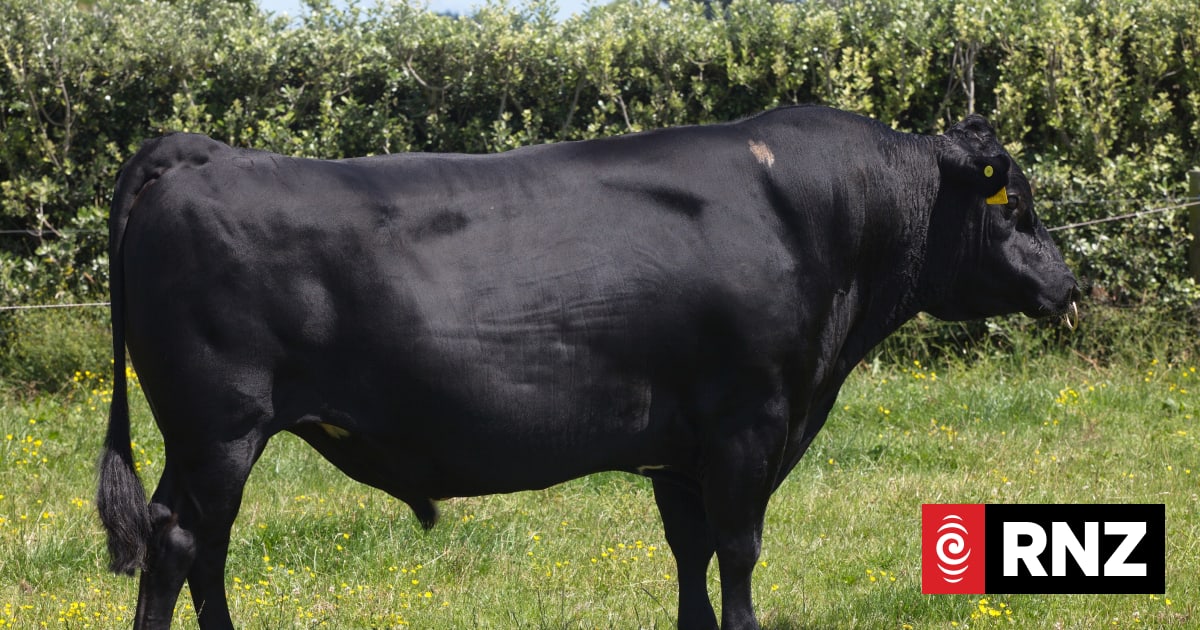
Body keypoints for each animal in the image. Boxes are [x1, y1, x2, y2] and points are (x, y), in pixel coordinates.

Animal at [97, 105, 1078, 630]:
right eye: (1017, 206)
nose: (1071, 282)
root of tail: (199, 151)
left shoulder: (680, 447)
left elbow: (690, 553)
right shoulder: (749, 423)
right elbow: (738, 550)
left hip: (205, 441)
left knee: (191, 544)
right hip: (220, 429)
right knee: (182, 544)